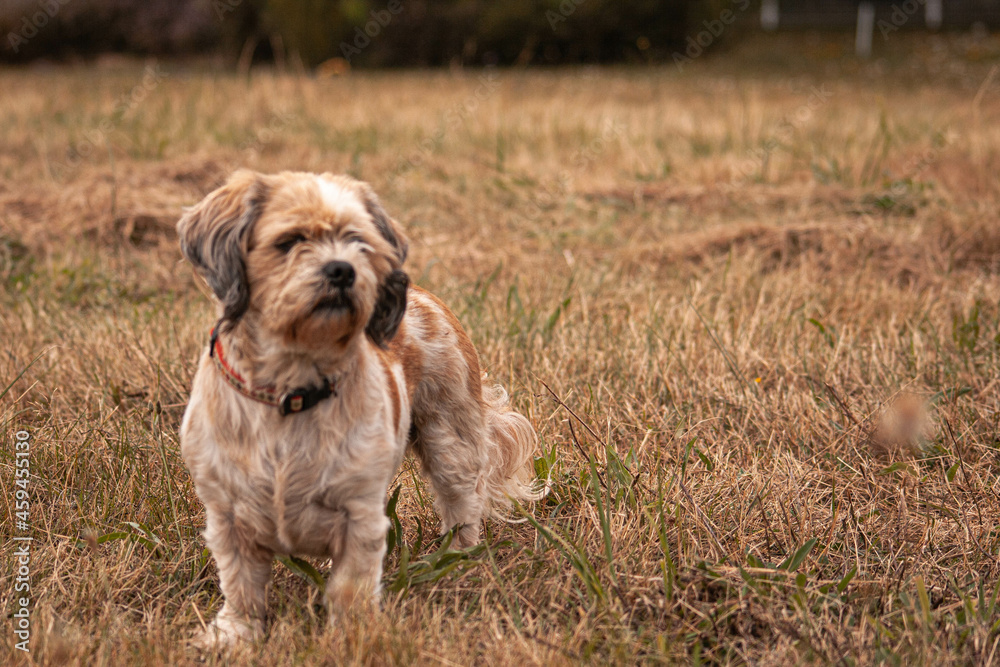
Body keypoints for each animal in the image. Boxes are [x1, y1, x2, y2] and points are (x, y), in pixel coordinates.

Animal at [176, 171, 544, 648]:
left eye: (358, 243)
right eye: (289, 241)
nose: (342, 268)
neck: (292, 391)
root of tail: (425, 297)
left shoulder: (360, 514)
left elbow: (350, 586)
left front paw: (351, 635)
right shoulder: (226, 513)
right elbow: (240, 583)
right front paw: (236, 634)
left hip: (451, 443)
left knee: (463, 506)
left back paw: (461, 561)